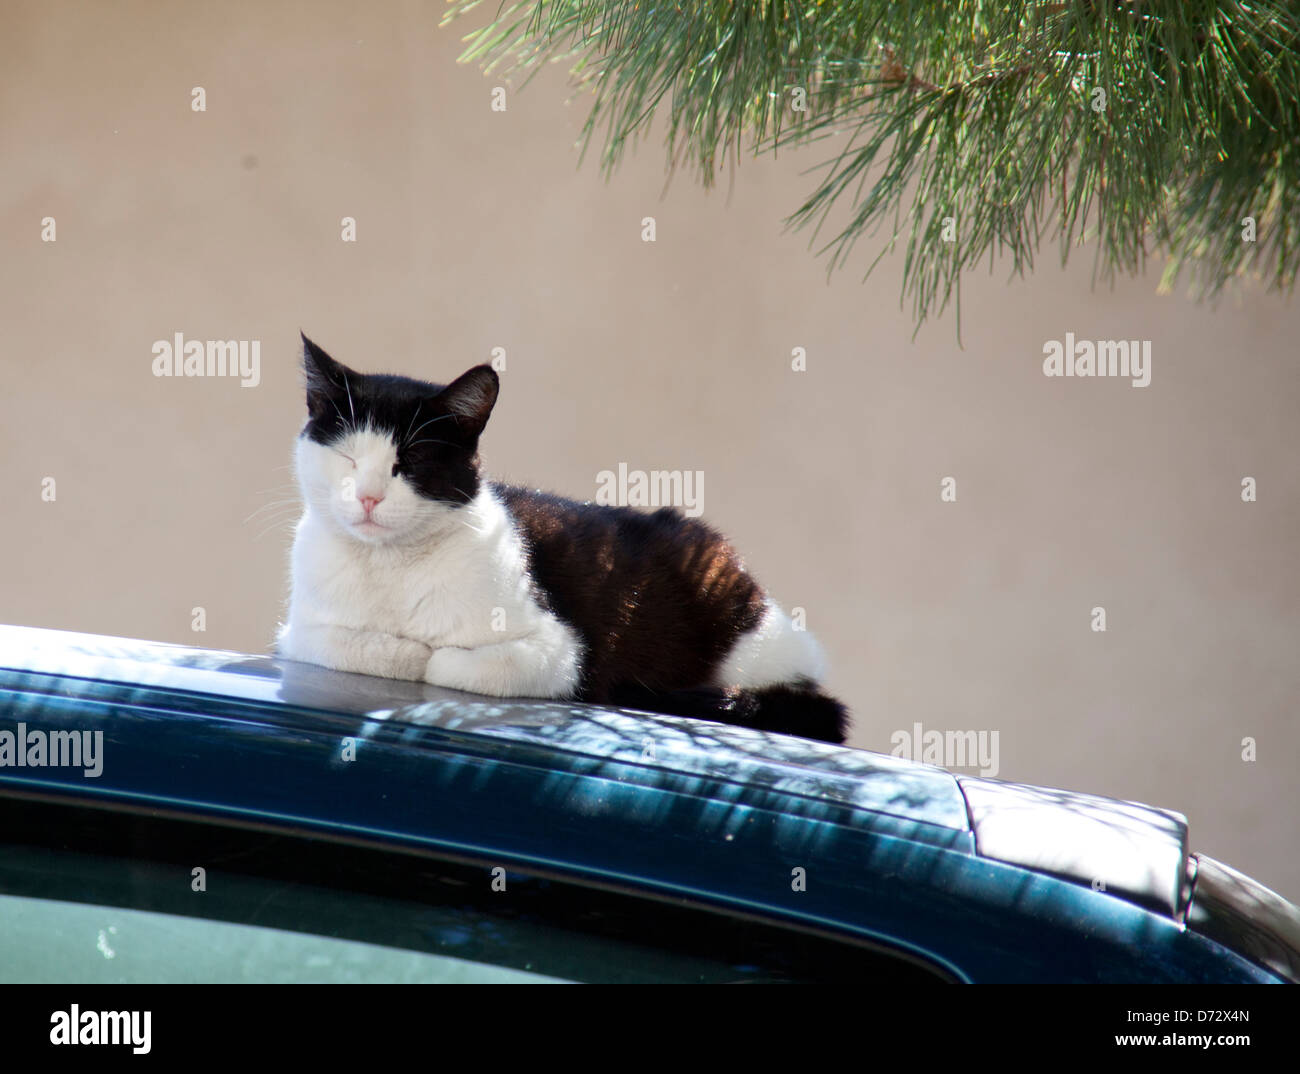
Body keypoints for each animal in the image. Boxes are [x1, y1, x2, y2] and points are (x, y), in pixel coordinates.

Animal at [278, 330, 847, 738]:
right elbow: (346, 643)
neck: (389, 566)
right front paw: (397, 648)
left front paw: (427, 654)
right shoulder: (299, 629)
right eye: (348, 457)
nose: (369, 497)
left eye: (410, 462)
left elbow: (445, 664)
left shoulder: (564, 653)